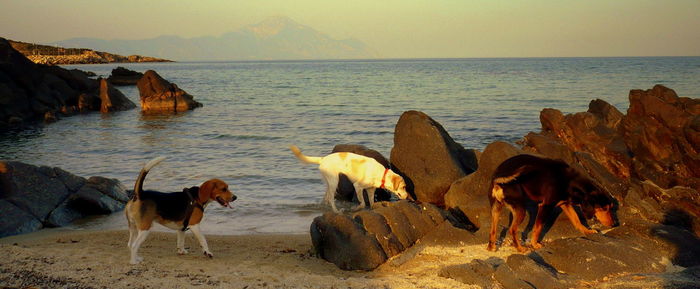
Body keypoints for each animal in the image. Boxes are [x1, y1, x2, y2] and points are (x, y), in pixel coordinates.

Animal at [484, 154, 616, 251]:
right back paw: (520, 249)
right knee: (512, 230)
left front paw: (587, 231)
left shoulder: (565, 204)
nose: (613, 224)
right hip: (520, 209)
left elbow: (576, 219)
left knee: (492, 230)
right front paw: (535, 244)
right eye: (604, 208)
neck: (569, 182)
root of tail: (498, 178)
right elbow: (538, 227)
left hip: (496, 209)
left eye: (610, 207)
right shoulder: (546, 205)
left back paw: (491, 248)